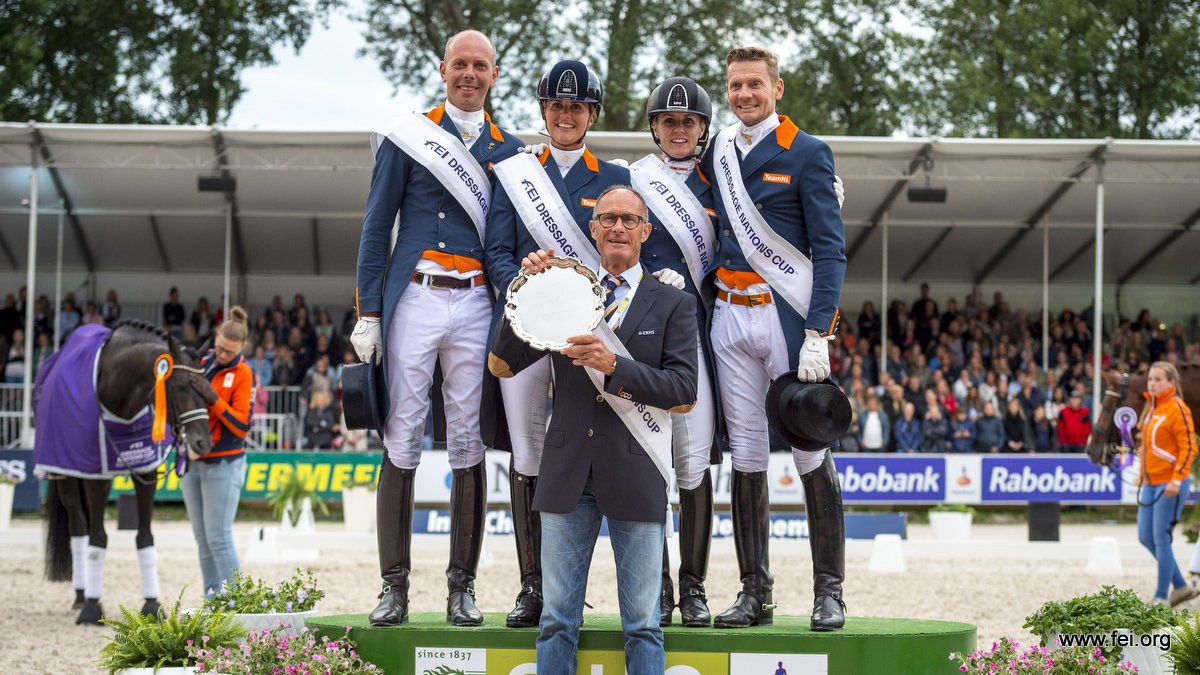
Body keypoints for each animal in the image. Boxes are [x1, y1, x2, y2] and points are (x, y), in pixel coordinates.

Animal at [37, 317, 214, 624]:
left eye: (206, 388)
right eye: (180, 387)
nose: (203, 443)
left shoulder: (146, 472)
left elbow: (145, 537)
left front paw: (152, 604)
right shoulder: (97, 479)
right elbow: (98, 538)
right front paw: (92, 608)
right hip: (67, 476)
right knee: (79, 528)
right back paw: (81, 595)